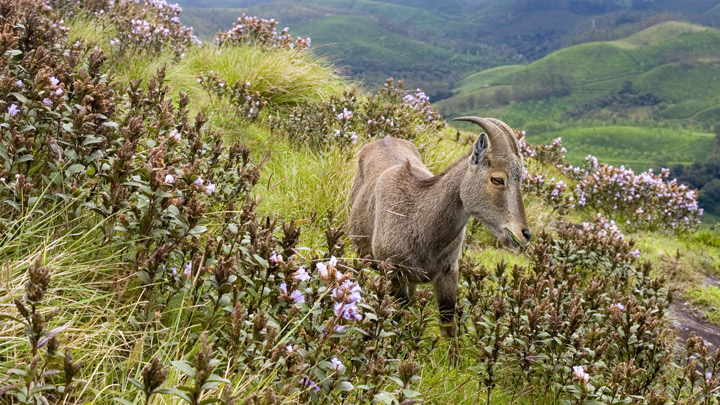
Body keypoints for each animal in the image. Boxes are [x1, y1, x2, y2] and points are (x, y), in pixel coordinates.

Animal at [348, 116, 528, 334]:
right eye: (497, 179)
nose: (524, 234)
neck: (419, 222)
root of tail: (385, 138)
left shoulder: (448, 271)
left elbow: (448, 324)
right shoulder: (395, 272)